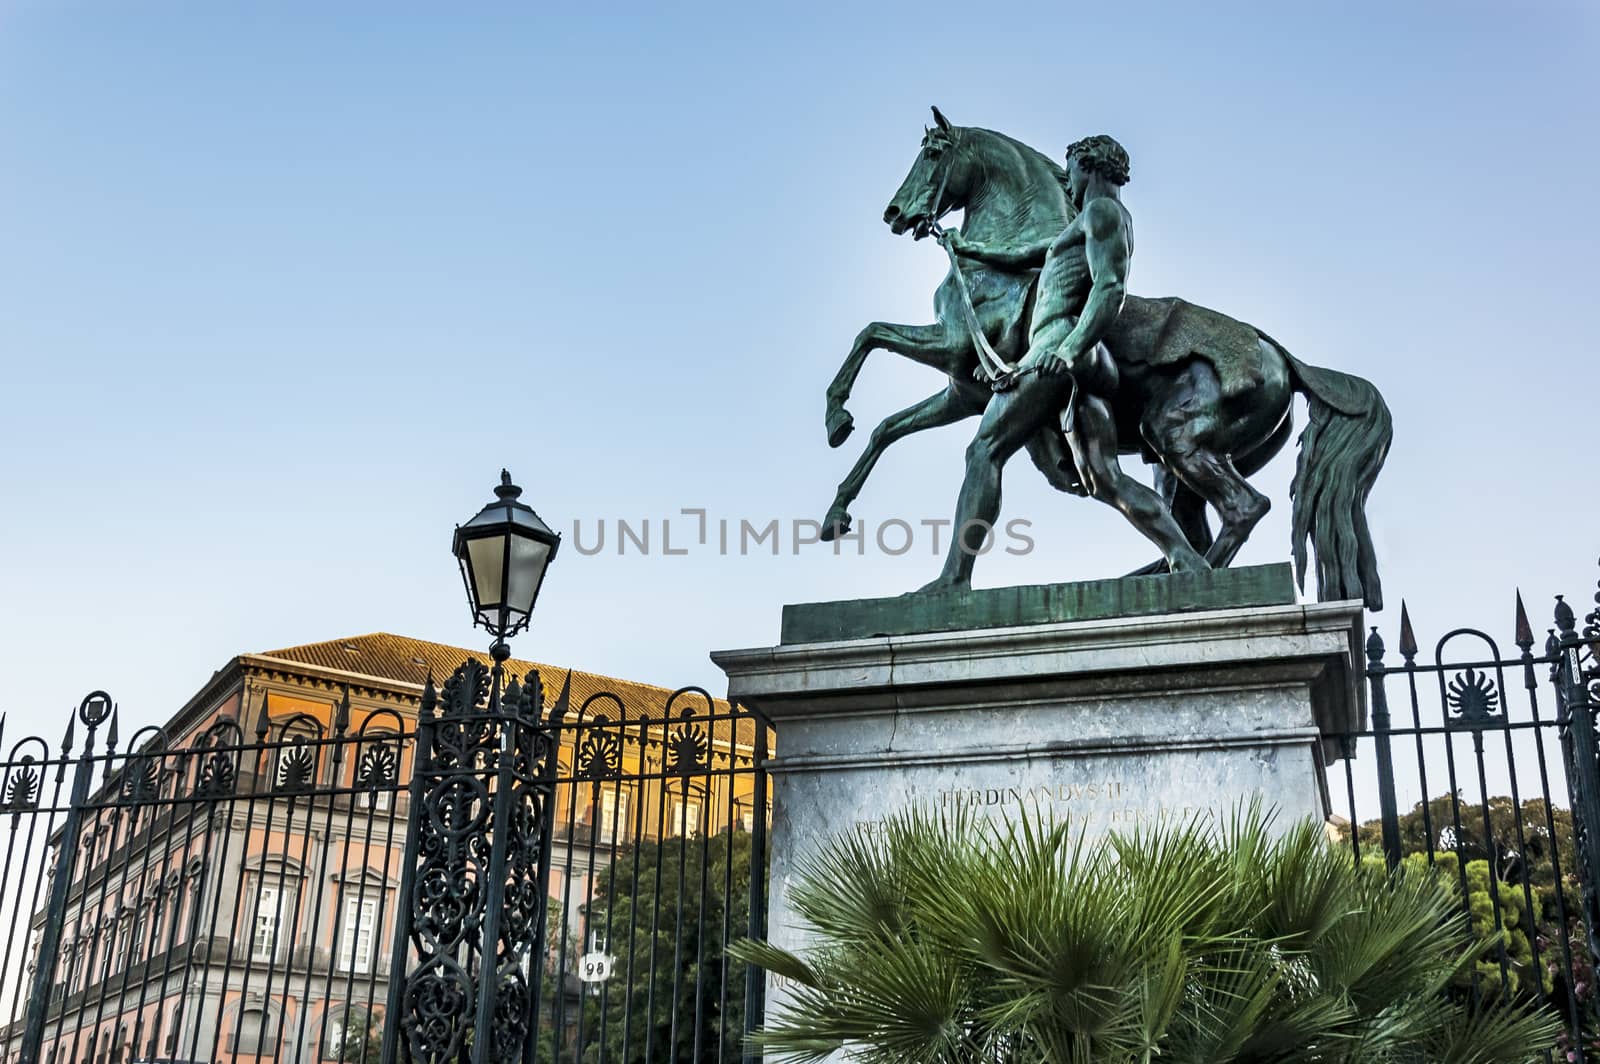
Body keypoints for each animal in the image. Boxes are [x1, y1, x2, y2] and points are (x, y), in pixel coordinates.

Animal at [825, 108, 1388, 611]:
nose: (895, 214)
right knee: (1190, 517)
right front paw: (836, 508)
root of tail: (1281, 357)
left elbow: (869, 334)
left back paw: (1187, 583)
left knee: (1244, 508)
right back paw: (1160, 576)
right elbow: (887, 428)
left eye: (933, 152)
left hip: (1178, 438)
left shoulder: (954, 349)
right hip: (1176, 463)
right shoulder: (963, 391)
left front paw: (836, 414)